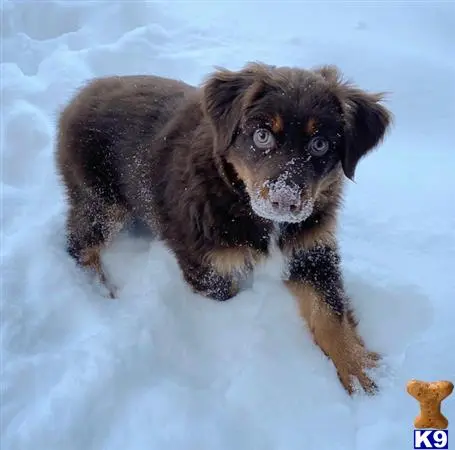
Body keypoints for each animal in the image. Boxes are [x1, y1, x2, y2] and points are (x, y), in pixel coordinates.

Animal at [56, 62, 392, 394]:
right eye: (262, 136)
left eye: (320, 144)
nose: (284, 201)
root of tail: (80, 95)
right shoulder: (207, 265)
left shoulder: (311, 250)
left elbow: (330, 310)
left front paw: (358, 369)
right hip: (102, 200)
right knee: (79, 243)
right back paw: (102, 289)